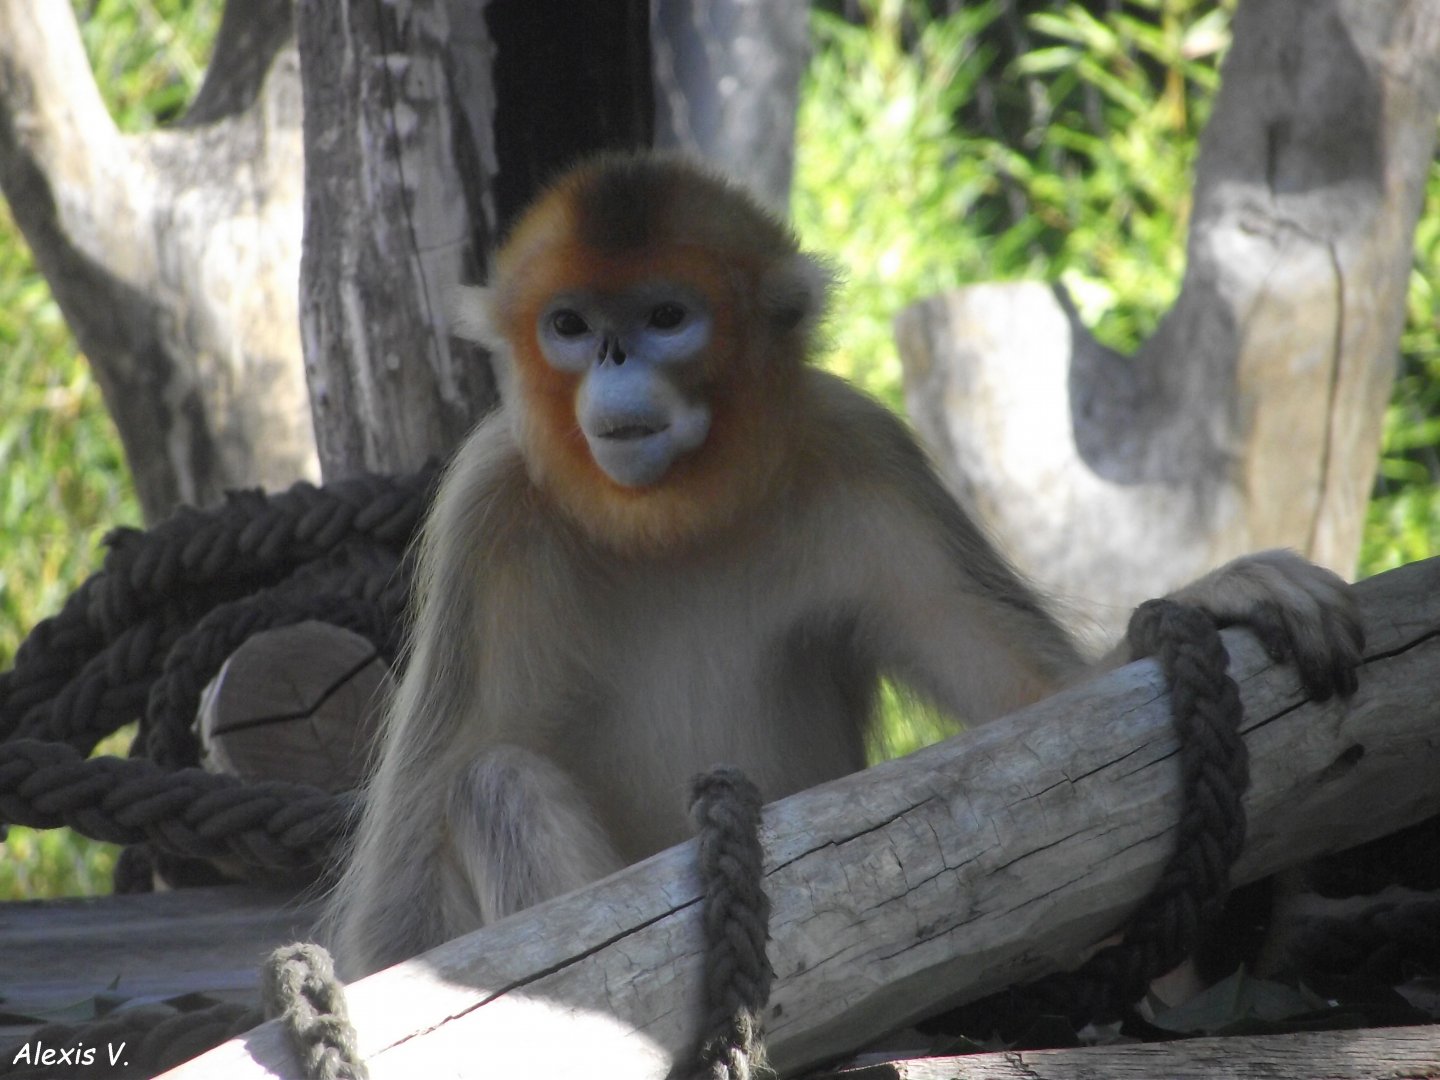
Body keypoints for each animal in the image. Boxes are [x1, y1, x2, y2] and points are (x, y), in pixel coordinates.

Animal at [325, 152, 1362, 979]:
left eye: (666, 316)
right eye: (570, 326)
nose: (613, 359)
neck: (670, 523)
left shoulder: (866, 448)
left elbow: (1048, 711)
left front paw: (1218, 593)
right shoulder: (489, 505)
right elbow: (404, 917)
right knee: (493, 781)